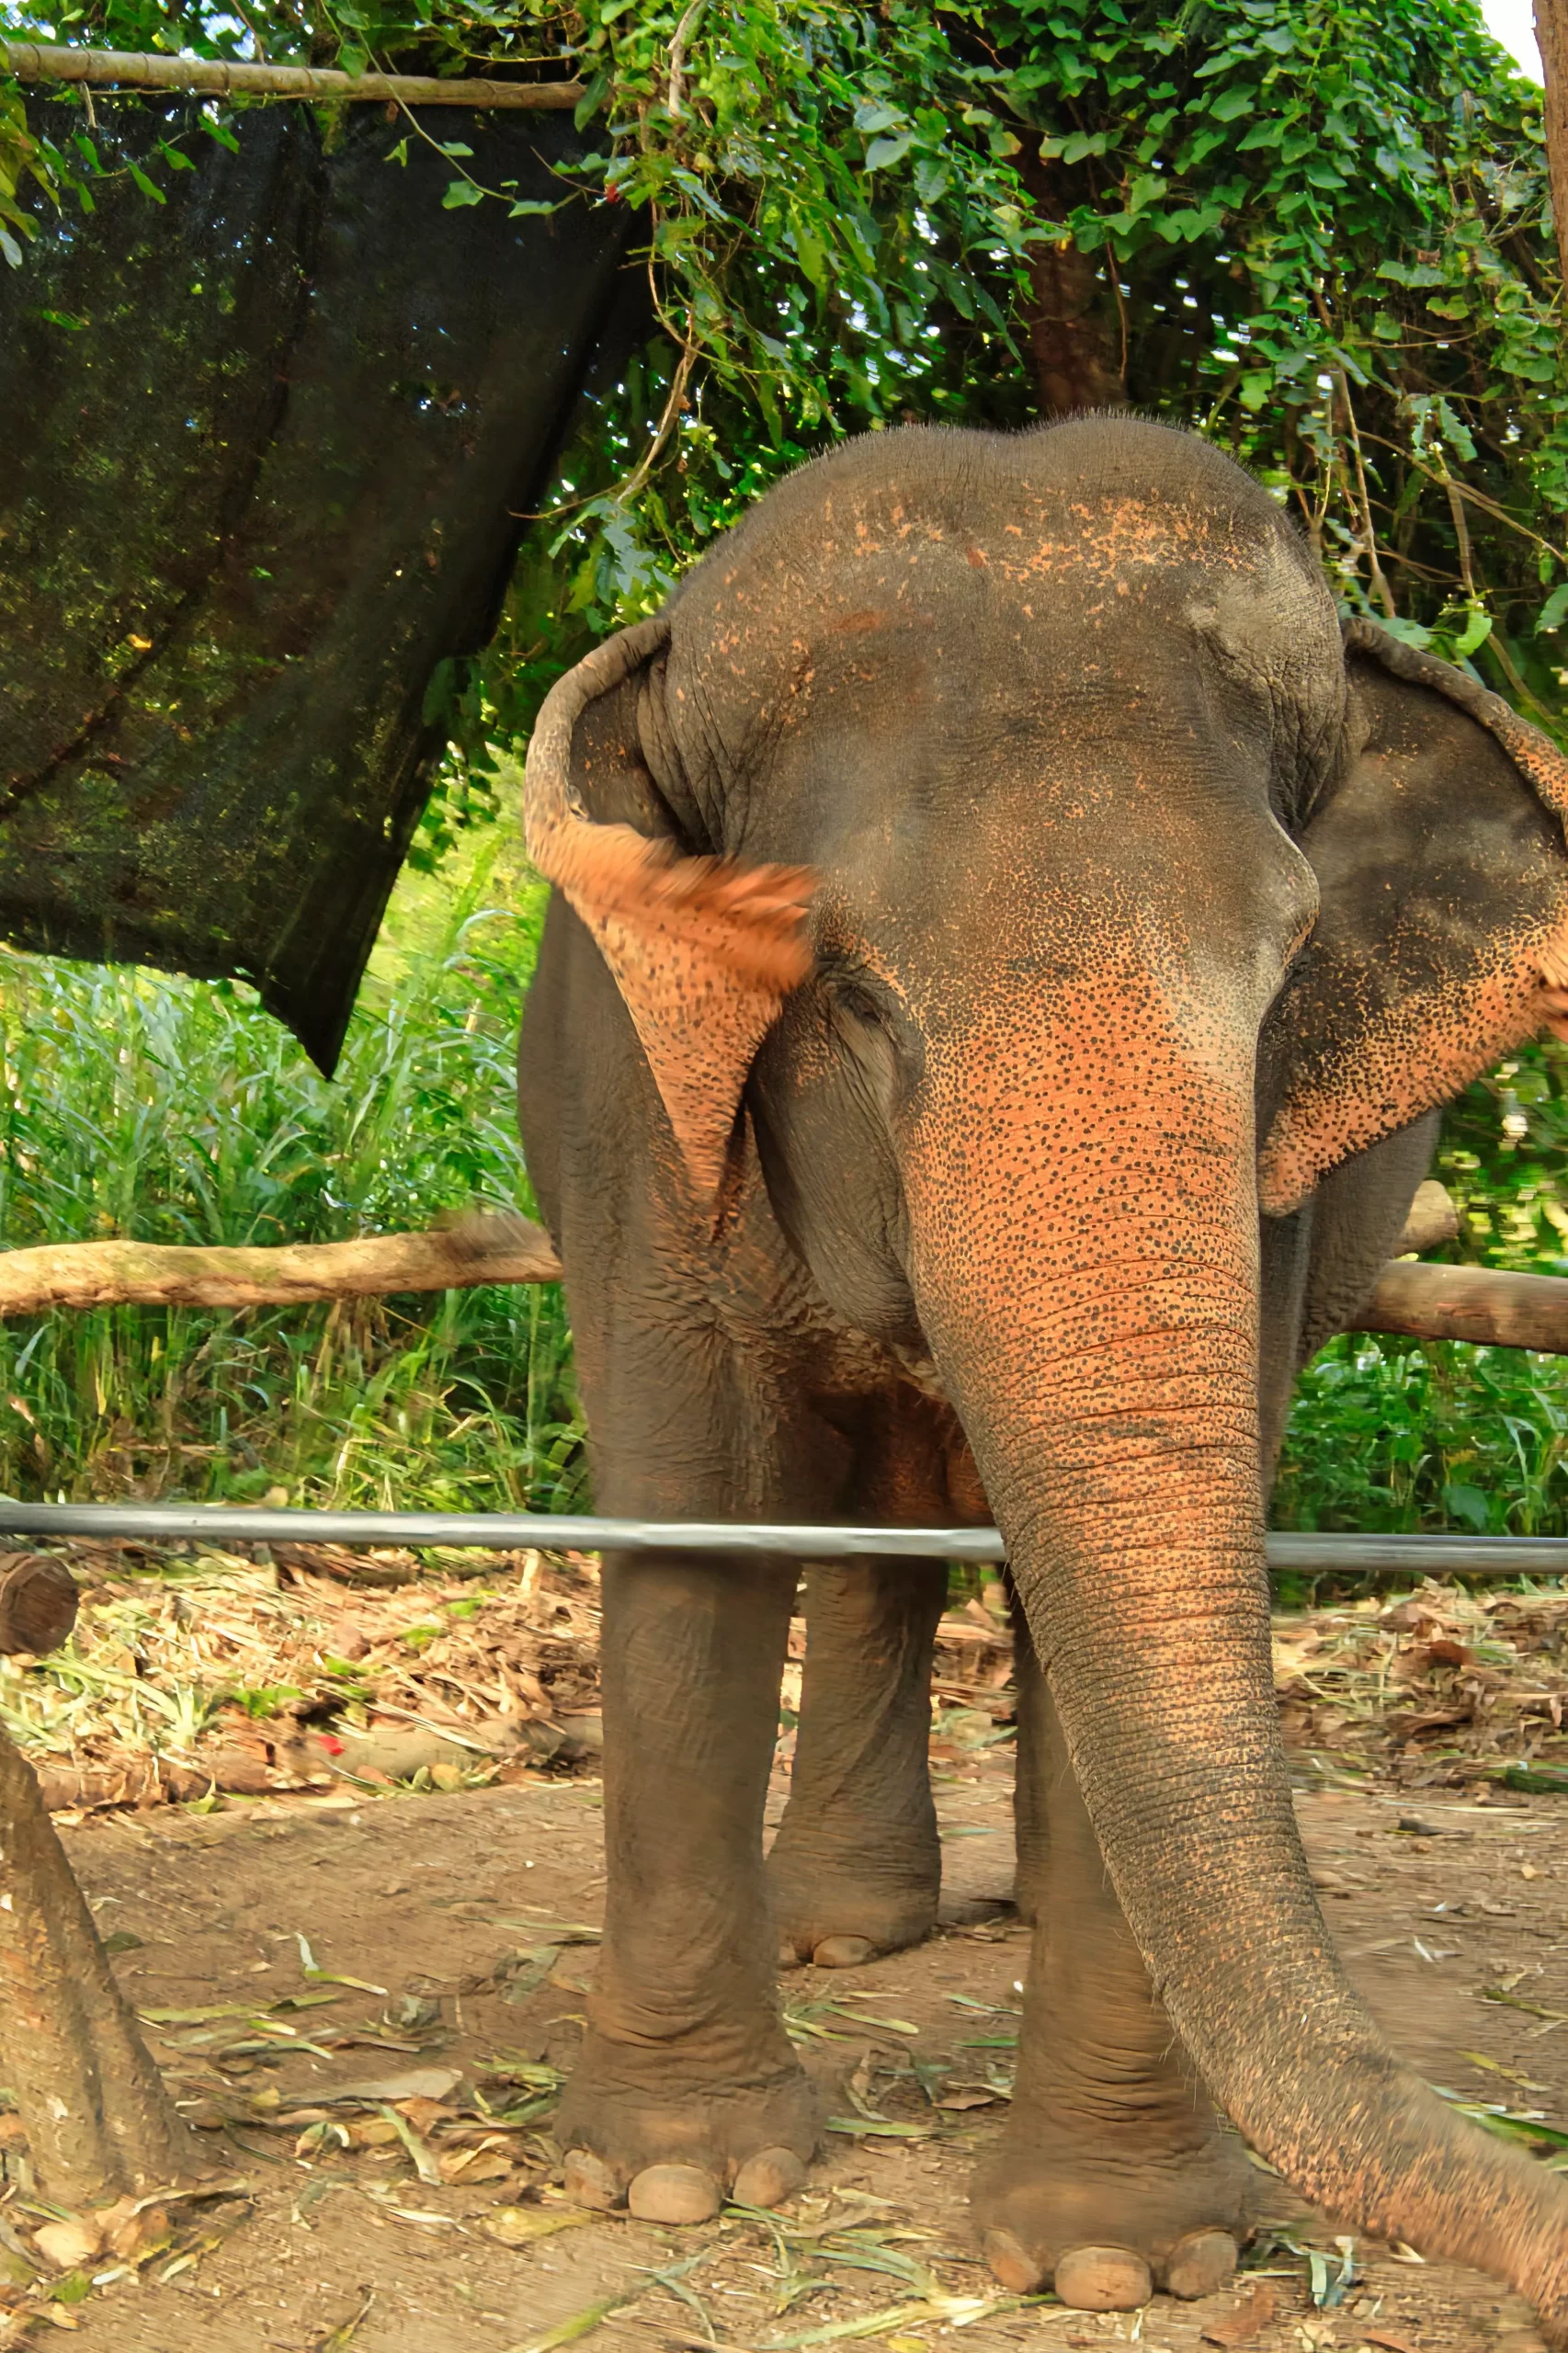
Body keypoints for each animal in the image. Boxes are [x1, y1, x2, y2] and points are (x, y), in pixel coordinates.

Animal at [515, 415, 1568, 2330]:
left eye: (1288, 975)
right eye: (847, 990)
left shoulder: (1276, 1194)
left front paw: (1116, 2261)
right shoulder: (641, 1102)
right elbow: (700, 1521)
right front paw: (672, 2179)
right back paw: (844, 1933)